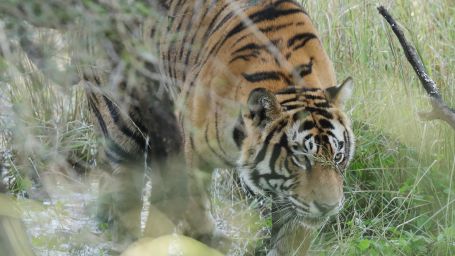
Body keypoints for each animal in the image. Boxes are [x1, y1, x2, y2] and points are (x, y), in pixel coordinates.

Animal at [84, 0, 356, 254]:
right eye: (300, 159)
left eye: (338, 157)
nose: (329, 207)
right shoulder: (191, 153)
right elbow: (195, 209)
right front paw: (210, 240)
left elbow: (292, 237)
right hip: (121, 117)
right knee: (123, 184)